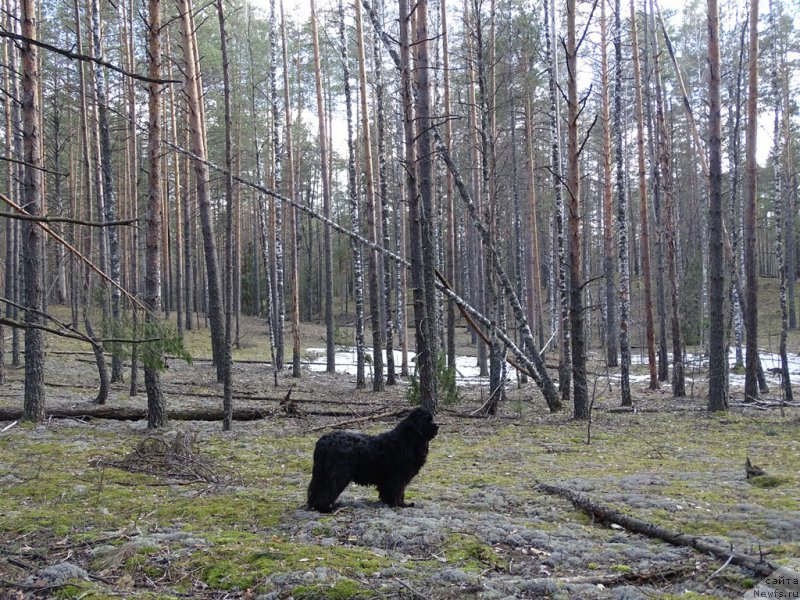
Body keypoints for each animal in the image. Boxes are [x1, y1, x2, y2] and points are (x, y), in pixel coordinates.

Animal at [308, 408, 444, 510]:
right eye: (427, 421)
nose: (438, 426)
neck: (407, 441)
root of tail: (324, 440)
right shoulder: (397, 477)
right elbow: (396, 491)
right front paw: (396, 505)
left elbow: (399, 492)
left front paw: (402, 504)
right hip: (340, 473)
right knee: (328, 491)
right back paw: (327, 508)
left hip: (321, 473)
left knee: (314, 490)